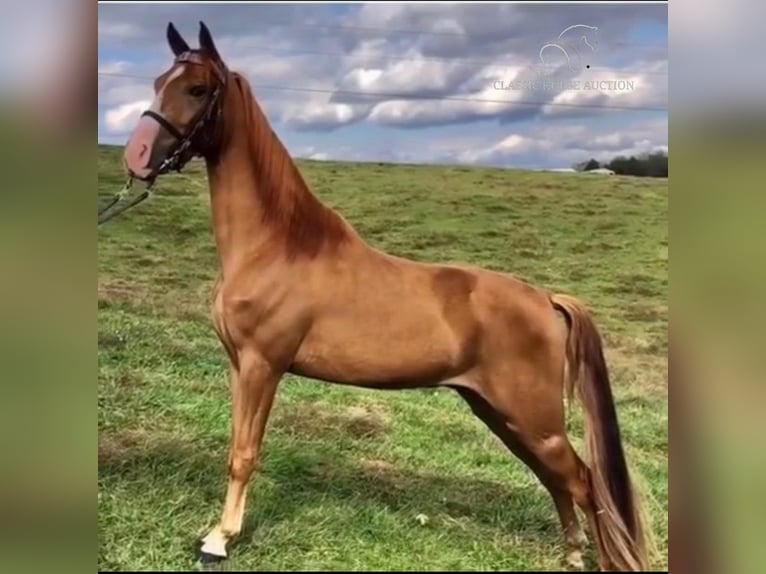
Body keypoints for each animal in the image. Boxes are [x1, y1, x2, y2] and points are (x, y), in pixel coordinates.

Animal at [118, 21, 648, 572]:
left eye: (198, 89)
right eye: (159, 81)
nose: (136, 157)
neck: (277, 245)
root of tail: (546, 299)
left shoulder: (263, 365)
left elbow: (244, 455)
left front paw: (219, 540)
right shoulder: (238, 365)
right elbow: (235, 447)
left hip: (532, 418)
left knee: (583, 482)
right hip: (504, 415)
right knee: (557, 479)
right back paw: (571, 554)